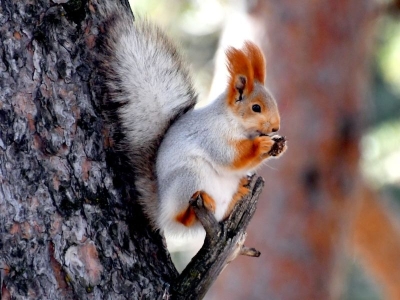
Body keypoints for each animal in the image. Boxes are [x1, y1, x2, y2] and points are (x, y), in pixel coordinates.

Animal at [98, 1, 286, 237]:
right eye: (256, 107)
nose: (276, 127)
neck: (235, 123)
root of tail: (161, 212)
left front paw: (279, 147)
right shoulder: (212, 134)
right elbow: (229, 157)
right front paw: (261, 145)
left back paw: (238, 194)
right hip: (188, 178)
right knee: (183, 219)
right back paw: (190, 211)